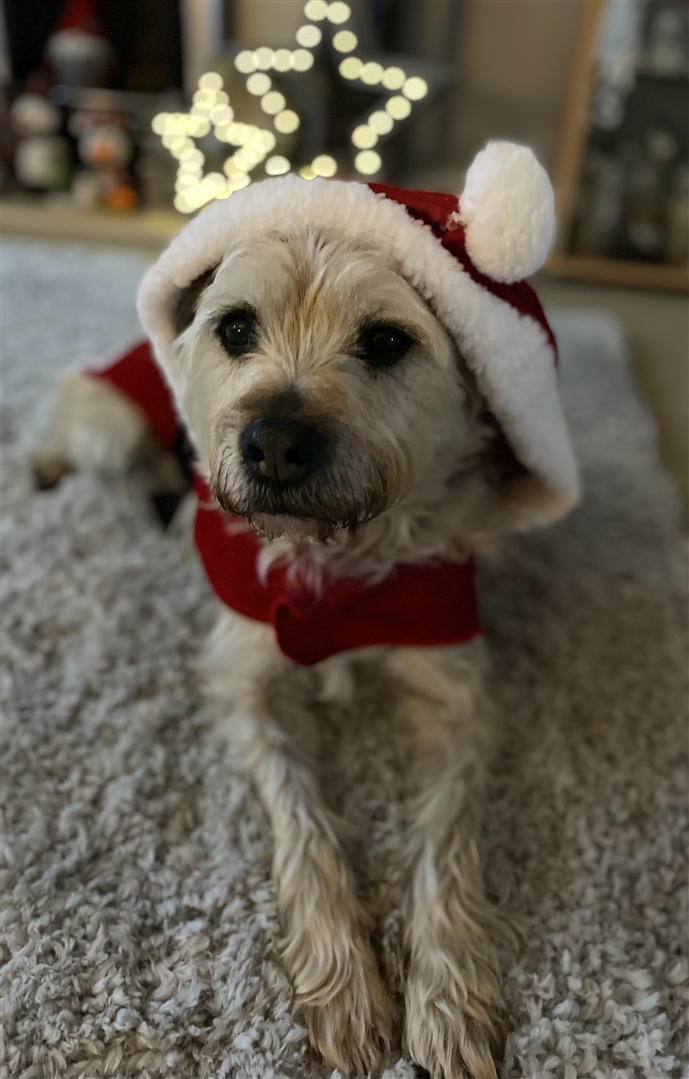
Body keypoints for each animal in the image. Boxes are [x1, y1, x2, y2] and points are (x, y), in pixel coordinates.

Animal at [33, 145, 582, 1079]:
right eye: (235, 328)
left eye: (386, 340)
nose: (276, 443)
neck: (346, 563)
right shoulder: (247, 681)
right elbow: (303, 819)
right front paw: (347, 985)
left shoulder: (457, 692)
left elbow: (444, 840)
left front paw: (447, 995)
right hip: (109, 419)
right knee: (79, 443)